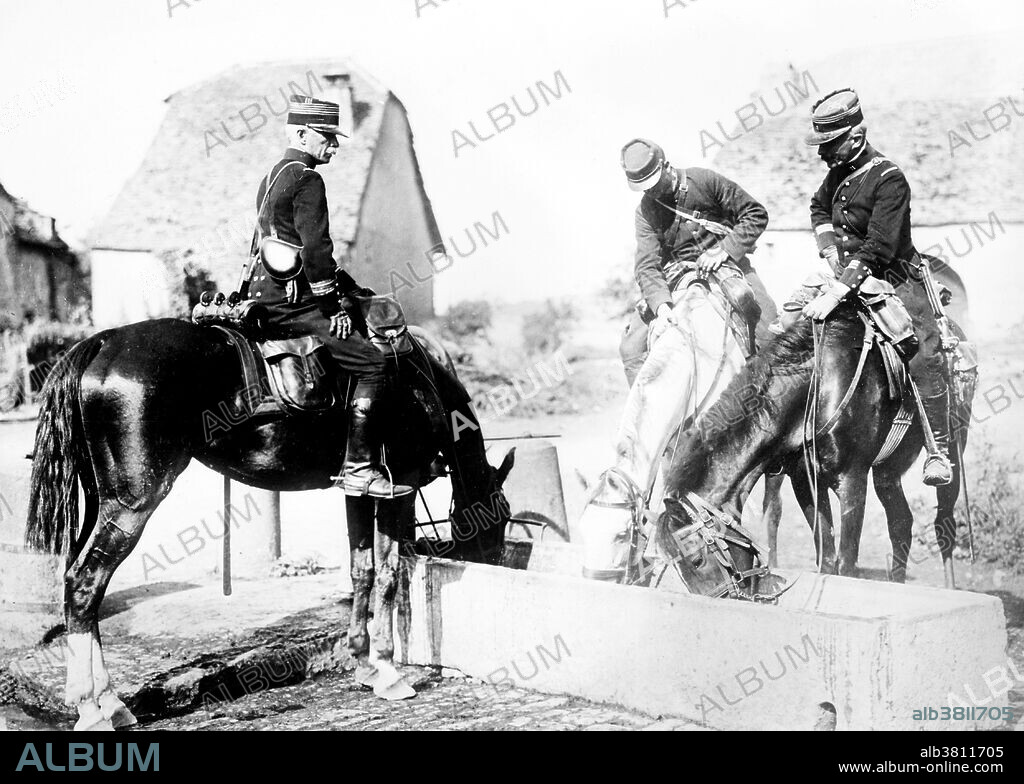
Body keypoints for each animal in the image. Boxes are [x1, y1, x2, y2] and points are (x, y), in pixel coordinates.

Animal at [22, 317, 520, 728]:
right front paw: (387, 670)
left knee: (77, 585)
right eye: (500, 520)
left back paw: (106, 702)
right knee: (85, 583)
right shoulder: (402, 486)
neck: (419, 380)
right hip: (132, 504)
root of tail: (103, 342)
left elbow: (362, 572)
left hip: (100, 503)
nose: (494, 562)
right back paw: (94, 707)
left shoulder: (358, 490)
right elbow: (389, 575)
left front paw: (363, 664)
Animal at [659, 307, 970, 589]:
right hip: (887, 471)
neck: (818, 387)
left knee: (945, 525)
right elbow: (827, 557)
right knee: (901, 523)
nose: (730, 595)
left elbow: (846, 563)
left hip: (953, 456)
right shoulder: (805, 483)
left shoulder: (853, 478)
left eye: (697, 560)